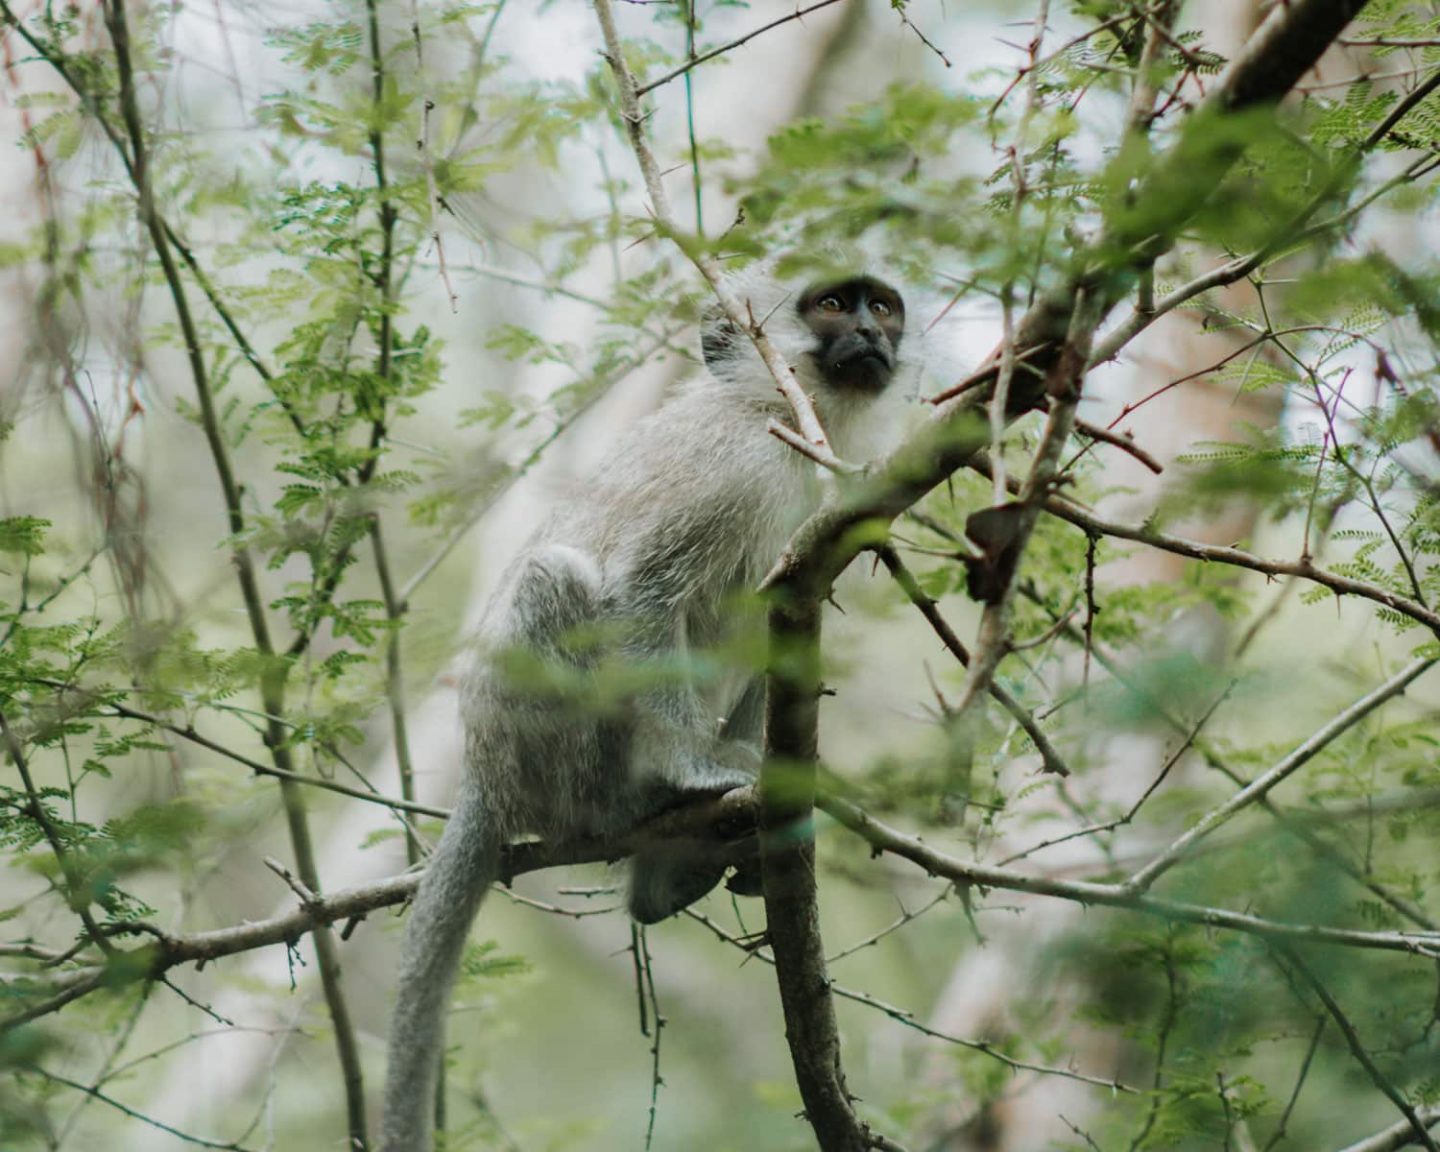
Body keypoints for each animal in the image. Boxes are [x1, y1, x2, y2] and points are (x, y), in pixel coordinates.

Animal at [383, 272, 910, 1152]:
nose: (873, 333)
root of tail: (485, 779)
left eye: (884, 307)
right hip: (545, 760)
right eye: (833, 305)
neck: (775, 410)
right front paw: (688, 769)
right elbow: (641, 591)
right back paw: (647, 808)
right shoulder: (727, 468)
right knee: (556, 580)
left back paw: (674, 875)